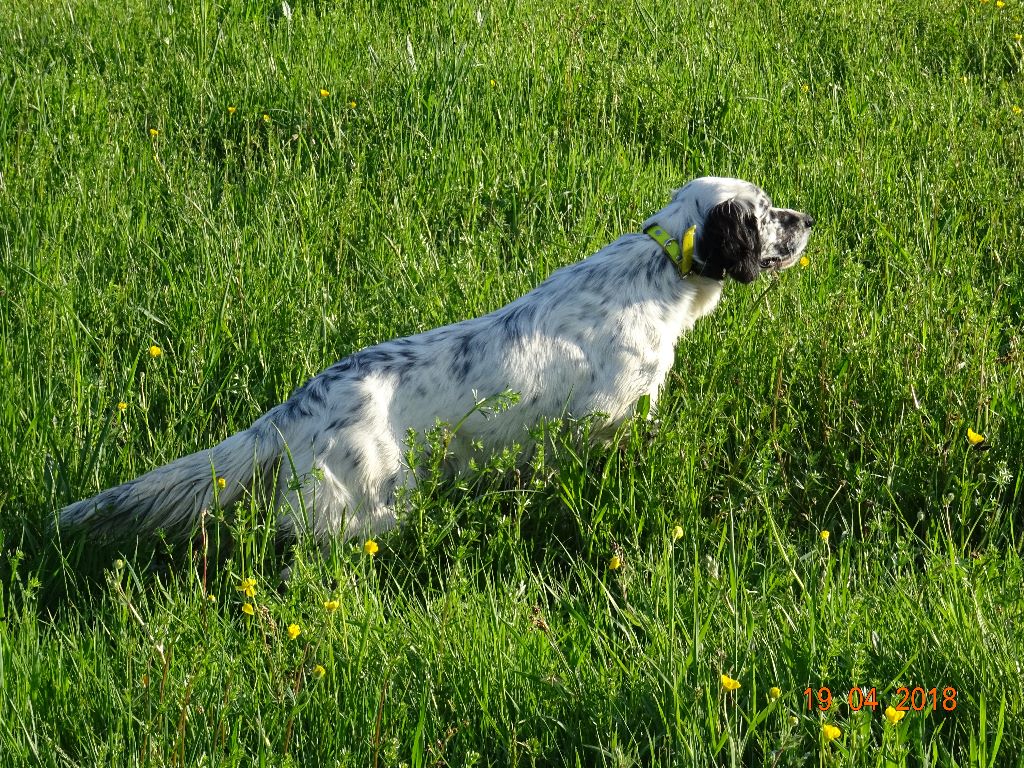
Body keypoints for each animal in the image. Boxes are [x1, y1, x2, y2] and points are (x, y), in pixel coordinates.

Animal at [59, 177, 815, 544]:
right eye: (766, 212)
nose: (808, 219)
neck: (657, 270)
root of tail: (290, 410)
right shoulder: (608, 416)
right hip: (368, 499)